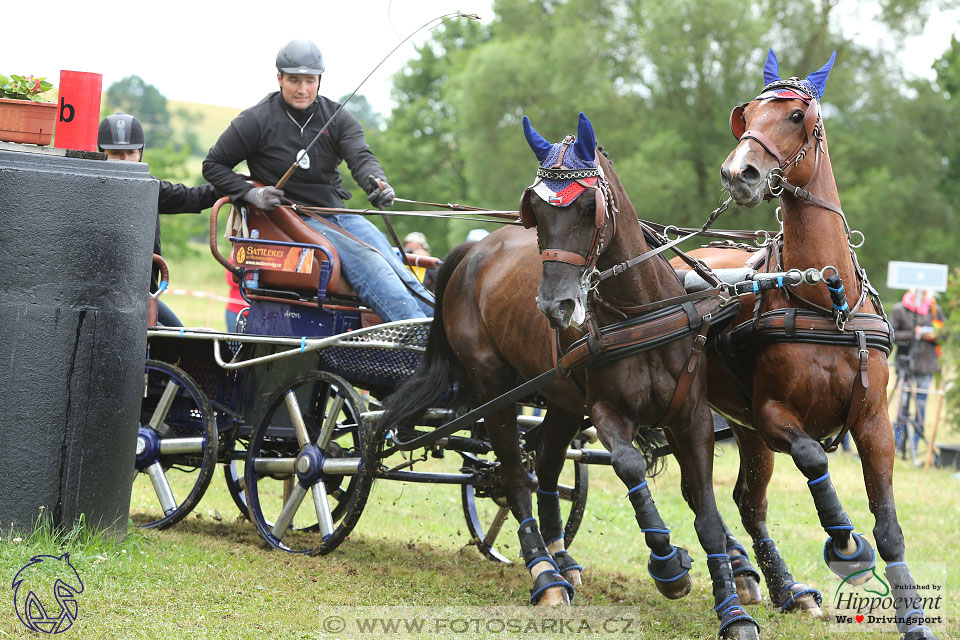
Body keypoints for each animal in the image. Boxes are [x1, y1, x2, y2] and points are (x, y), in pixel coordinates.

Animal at [382, 115, 756, 640]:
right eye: (535, 211)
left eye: (585, 206)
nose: (555, 306)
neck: (639, 312)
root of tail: (475, 250)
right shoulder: (605, 411)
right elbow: (630, 466)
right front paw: (668, 566)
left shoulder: (692, 417)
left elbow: (704, 507)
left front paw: (733, 609)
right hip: (496, 389)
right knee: (514, 475)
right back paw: (545, 573)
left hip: (559, 398)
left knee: (547, 465)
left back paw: (562, 559)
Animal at [676, 51, 936, 640]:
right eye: (746, 115)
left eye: (797, 115)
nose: (739, 173)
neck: (825, 300)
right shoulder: (774, 415)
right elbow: (814, 454)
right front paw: (844, 540)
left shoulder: (875, 423)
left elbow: (889, 526)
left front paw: (914, 621)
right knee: (701, 497)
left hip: (743, 428)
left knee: (747, 503)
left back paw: (780, 586)